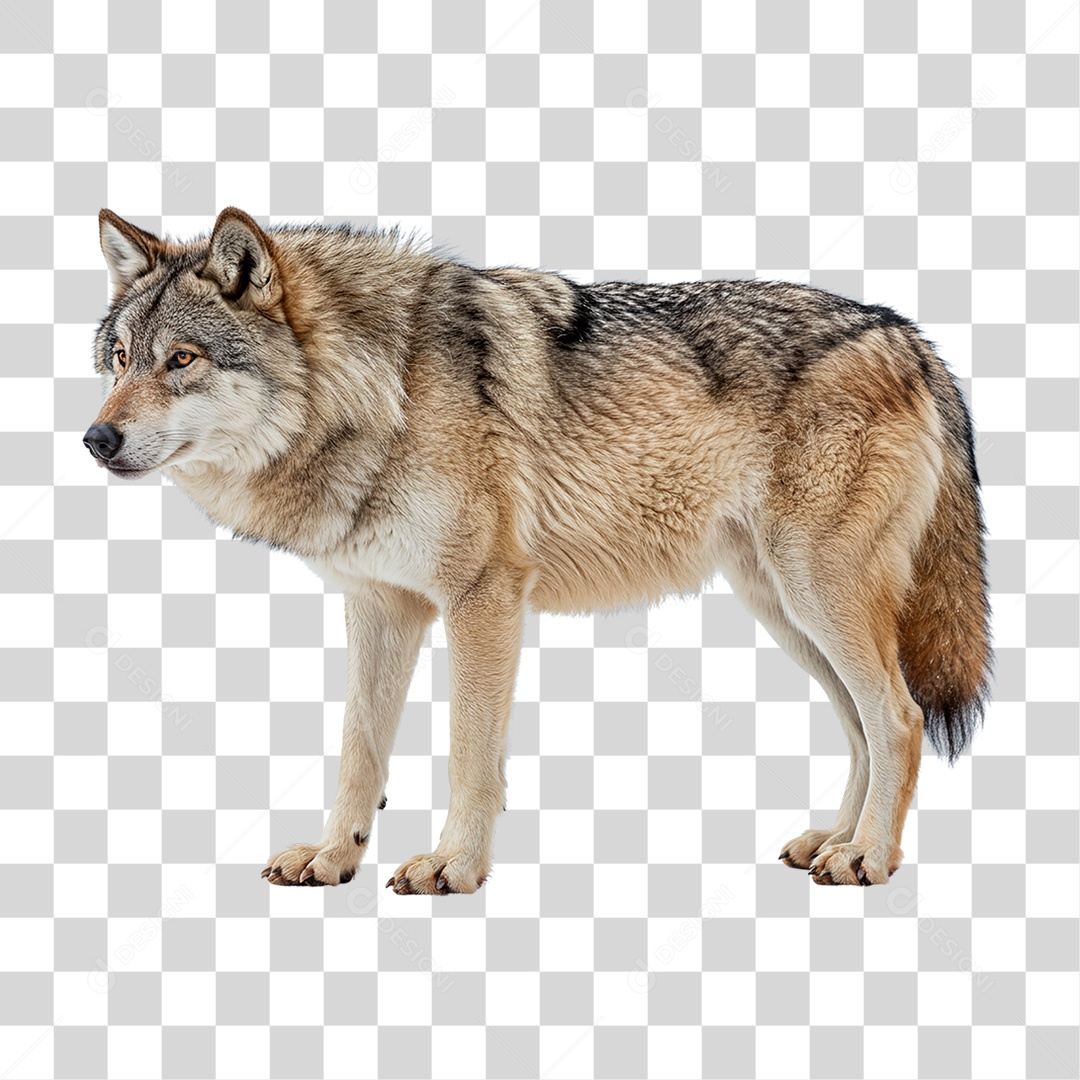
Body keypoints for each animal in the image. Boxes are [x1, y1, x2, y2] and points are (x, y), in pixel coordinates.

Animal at [85, 207, 992, 891]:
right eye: (121, 360)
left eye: (183, 359)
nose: (96, 439)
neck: (383, 388)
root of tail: (909, 336)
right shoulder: (382, 605)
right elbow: (358, 751)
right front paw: (335, 855)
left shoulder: (482, 598)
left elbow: (468, 751)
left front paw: (453, 867)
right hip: (783, 609)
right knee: (862, 725)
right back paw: (835, 840)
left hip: (818, 594)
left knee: (900, 716)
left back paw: (868, 856)